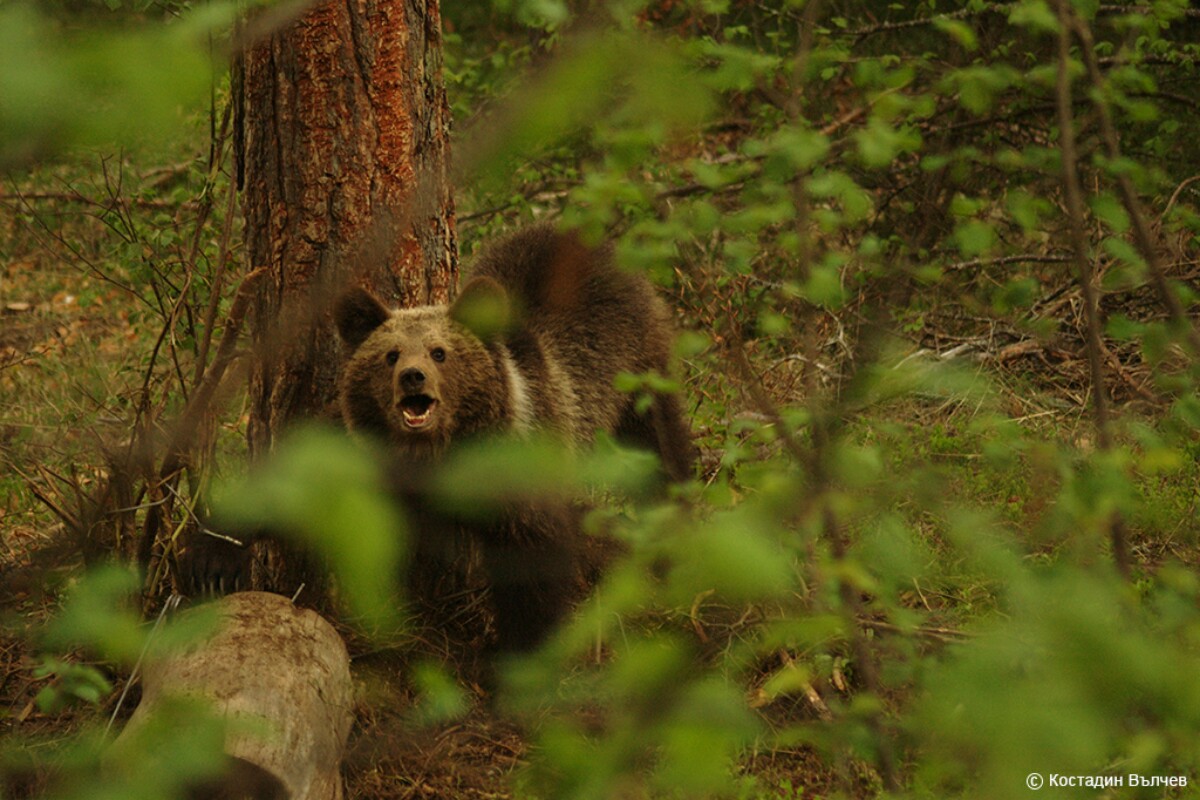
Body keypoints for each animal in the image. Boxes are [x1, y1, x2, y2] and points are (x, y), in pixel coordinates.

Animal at [338, 224, 696, 652]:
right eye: (390, 355)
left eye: (439, 352)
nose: (413, 376)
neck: (447, 451)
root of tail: (582, 235)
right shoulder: (406, 487)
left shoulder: (523, 476)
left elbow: (532, 565)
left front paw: (525, 646)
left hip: (637, 372)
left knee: (659, 450)